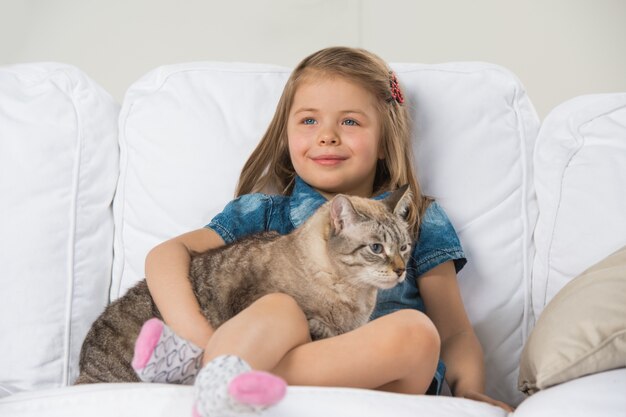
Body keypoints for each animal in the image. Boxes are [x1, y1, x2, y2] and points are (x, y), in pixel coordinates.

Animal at [75, 186, 412, 384]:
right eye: (377, 248)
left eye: (405, 247)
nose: (401, 270)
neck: (354, 297)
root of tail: (80, 371)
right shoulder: (254, 301)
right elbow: (318, 326)